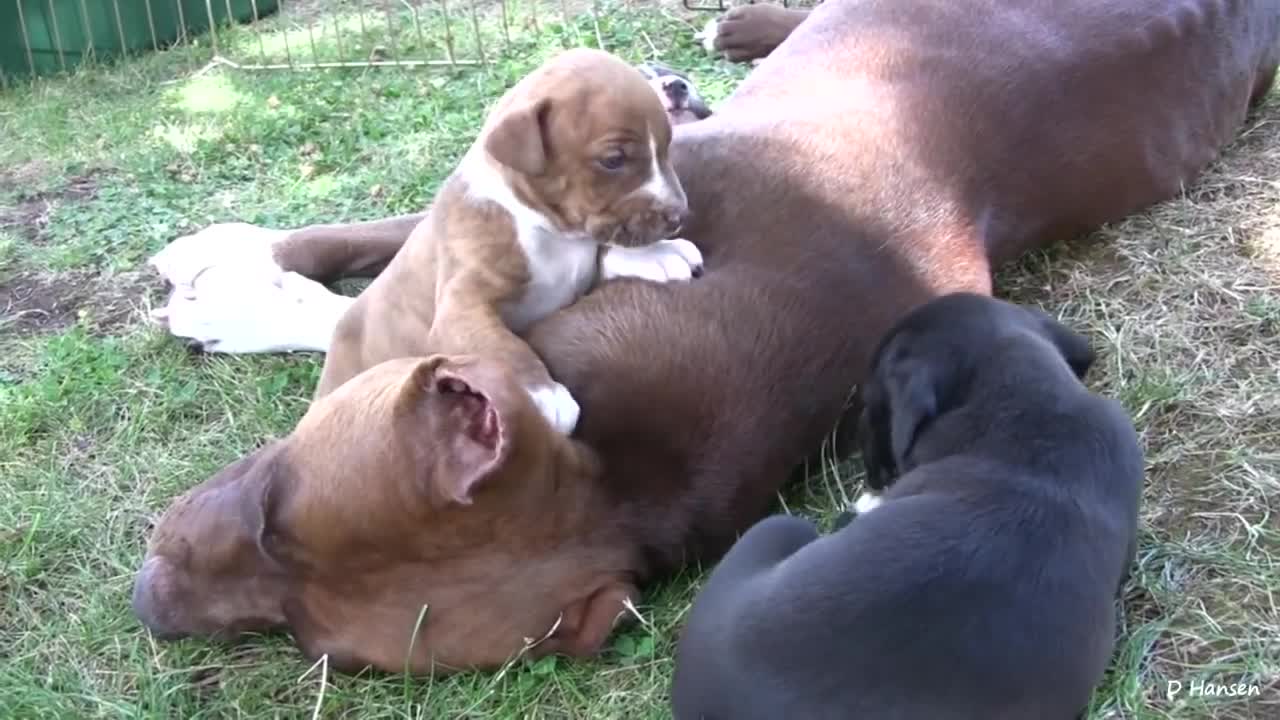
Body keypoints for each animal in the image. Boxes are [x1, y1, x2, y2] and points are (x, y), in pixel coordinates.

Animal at [320, 51, 701, 430]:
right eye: (613, 160)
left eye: (666, 146)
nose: (679, 214)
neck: (544, 229)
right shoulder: (459, 305)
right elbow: (496, 343)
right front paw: (542, 395)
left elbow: (600, 252)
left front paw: (658, 254)